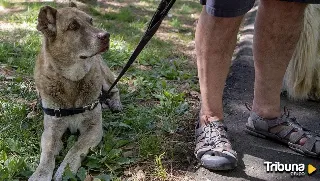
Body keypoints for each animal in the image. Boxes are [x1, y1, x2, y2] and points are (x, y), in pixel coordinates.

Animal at [29, 4, 122, 181]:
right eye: (73, 26)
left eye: (91, 21)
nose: (106, 35)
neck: (71, 79)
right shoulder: (51, 130)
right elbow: (48, 153)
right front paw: (40, 173)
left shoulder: (93, 128)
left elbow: (76, 148)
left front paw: (66, 169)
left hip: (105, 76)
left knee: (115, 89)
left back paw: (115, 104)